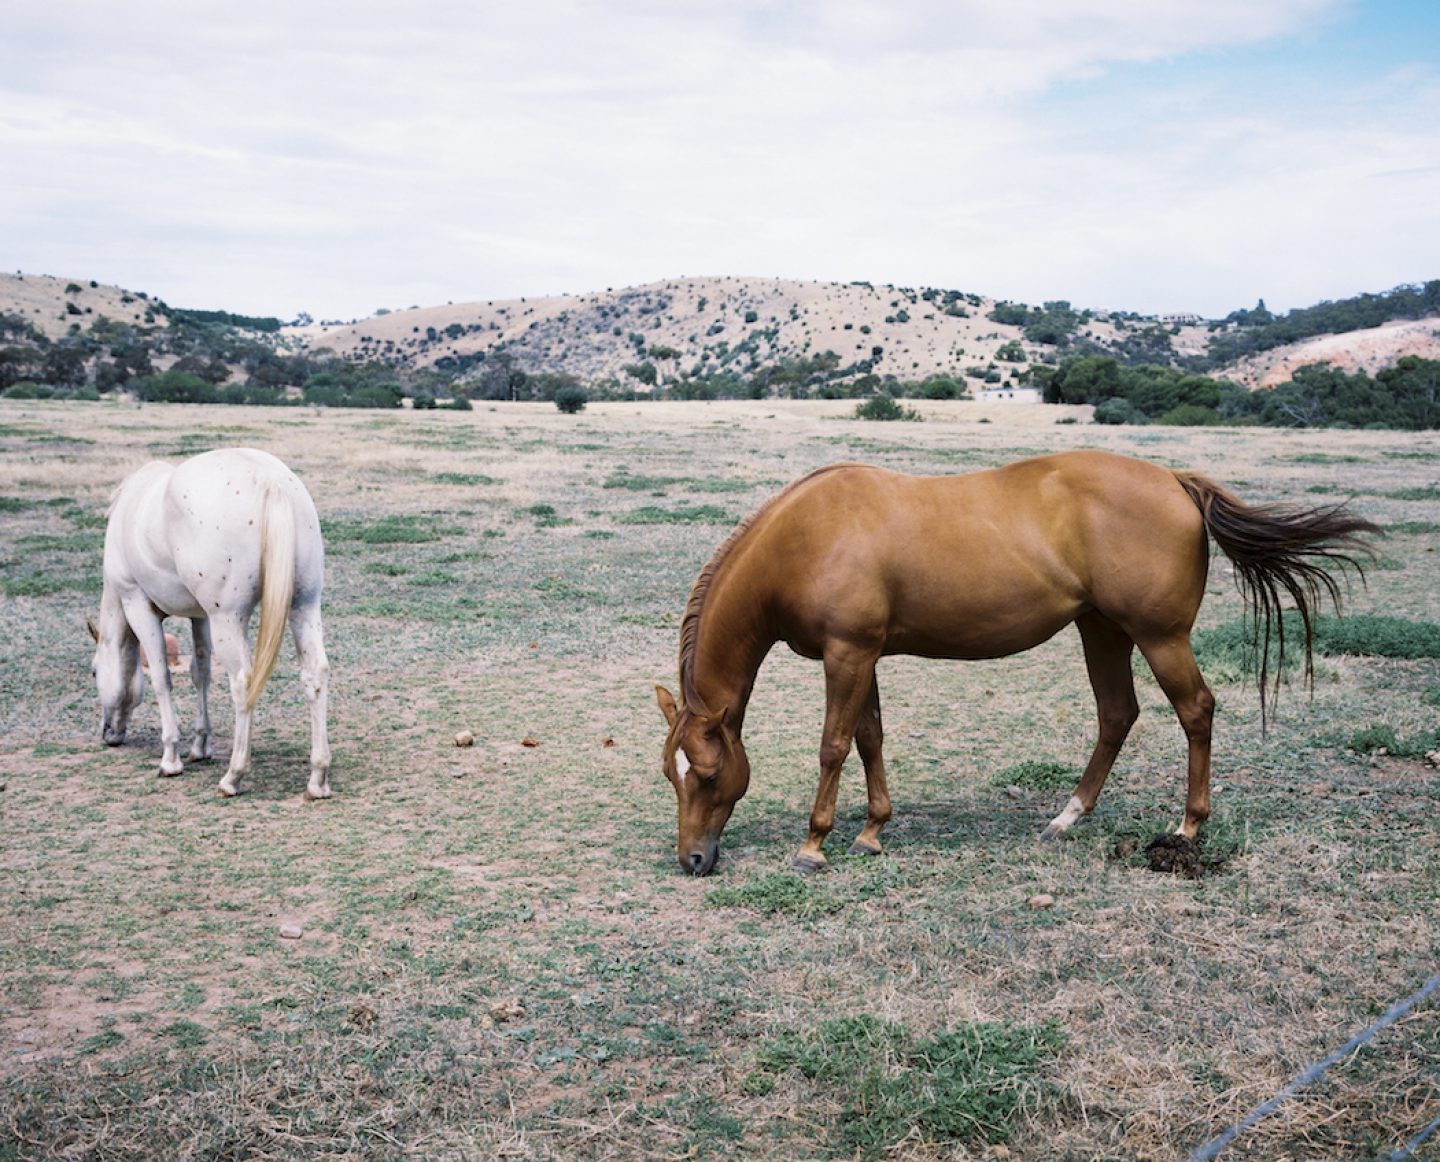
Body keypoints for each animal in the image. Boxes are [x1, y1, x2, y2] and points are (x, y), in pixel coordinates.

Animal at [90, 446, 334, 800]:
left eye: (94, 672)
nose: (108, 732)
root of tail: (270, 480)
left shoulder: (137, 605)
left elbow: (161, 678)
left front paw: (171, 758)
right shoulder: (200, 616)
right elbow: (200, 674)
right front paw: (200, 745)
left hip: (229, 621)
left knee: (243, 683)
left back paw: (233, 776)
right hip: (304, 606)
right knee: (315, 674)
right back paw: (317, 778)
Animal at [653, 449, 1370, 875]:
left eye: (709, 776)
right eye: (671, 776)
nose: (693, 860)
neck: (807, 537)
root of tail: (1175, 482)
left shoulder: (847, 654)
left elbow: (833, 745)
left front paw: (815, 844)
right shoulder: (865, 655)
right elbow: (869, 739)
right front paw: (873, 831)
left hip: (1159, 636)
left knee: (1196, 711)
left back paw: (1189, 829)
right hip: (1101, 631)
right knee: (1117, 715)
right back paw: (1067, 817)